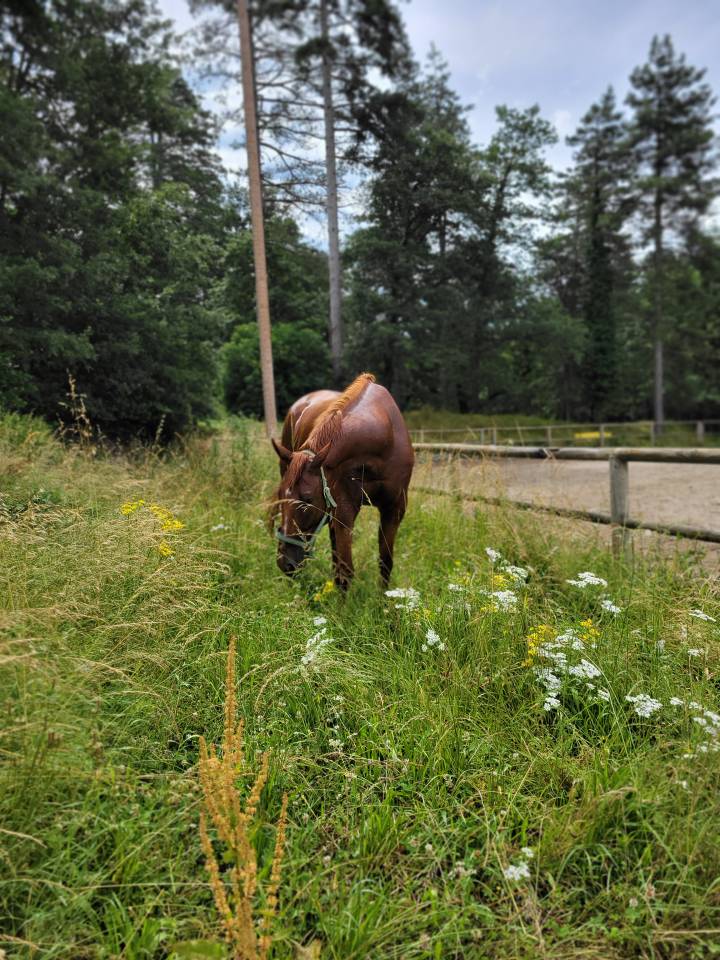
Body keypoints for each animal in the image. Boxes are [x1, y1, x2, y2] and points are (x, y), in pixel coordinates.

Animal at [270, 373, 414, 590]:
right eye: (280, 496)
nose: (285, 562)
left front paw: (384, 599)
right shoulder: (344, 511)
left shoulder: (394, 509)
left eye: (307, 500)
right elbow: (344, 571)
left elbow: (385, 562)